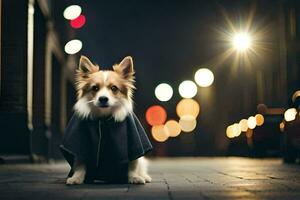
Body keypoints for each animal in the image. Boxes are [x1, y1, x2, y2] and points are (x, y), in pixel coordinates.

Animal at [62, 55, 154, 185]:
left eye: (114, 88)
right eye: (95, 88)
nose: (103, 99)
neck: (104, 118)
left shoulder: (133, 147)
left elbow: (132, 164)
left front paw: (134, 177)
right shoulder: (82, 146)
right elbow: (80, 163)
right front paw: (77, 178)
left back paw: (144, 176)